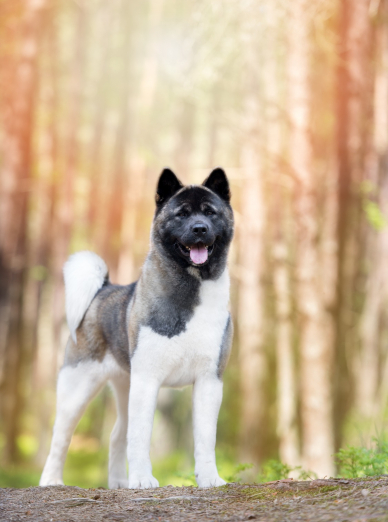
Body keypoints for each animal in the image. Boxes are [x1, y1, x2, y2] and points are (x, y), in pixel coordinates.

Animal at [39, 168, 233, 488]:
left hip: (124, 385)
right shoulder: (147, 381)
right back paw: (51, 480)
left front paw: (209, 478)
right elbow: (140, 437)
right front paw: (142, 479)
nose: (200, 229)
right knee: (61, 436)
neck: (190, 289)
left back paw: (119, 482)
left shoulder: (209, 381)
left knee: (117, 434)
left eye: (210, 212)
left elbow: (206, 438)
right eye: (182, 214)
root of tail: (103, 289)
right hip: (77, 388)